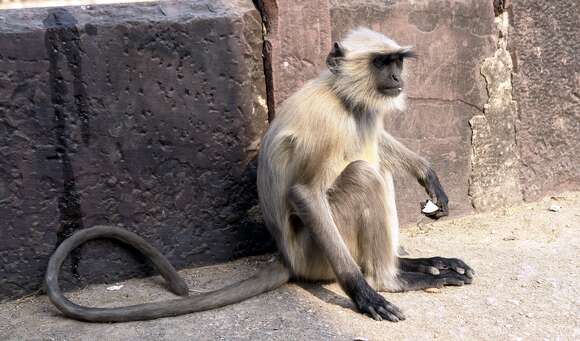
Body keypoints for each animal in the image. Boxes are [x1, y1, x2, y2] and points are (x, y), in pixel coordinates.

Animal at [44, 27, 472, 322]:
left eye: (397, 61)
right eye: (382, 63)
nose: (398, 78)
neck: (341, 96)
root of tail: (288, 257)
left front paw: (428, 175)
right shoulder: (327, 124)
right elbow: (304, 193)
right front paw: (362, 293)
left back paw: (418, 263)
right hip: (316, 252)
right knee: (366, 175)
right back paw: (390, 278)